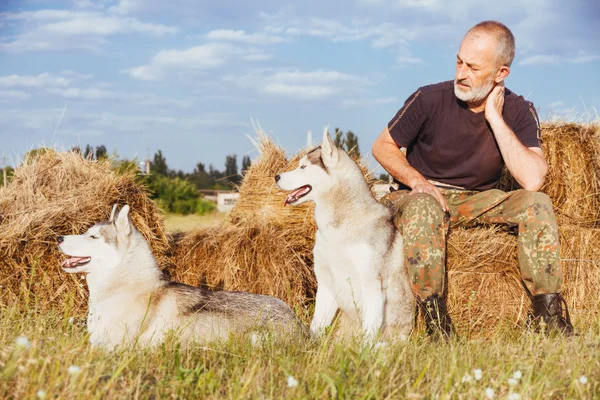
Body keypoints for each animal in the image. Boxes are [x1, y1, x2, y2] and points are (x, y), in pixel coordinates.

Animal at [276, 128, 412, 340]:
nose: (276, 177)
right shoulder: (326, 284)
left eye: (303, 167)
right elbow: (316, 325)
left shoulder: (372, 285)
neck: (340, 228)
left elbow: (368, 333)